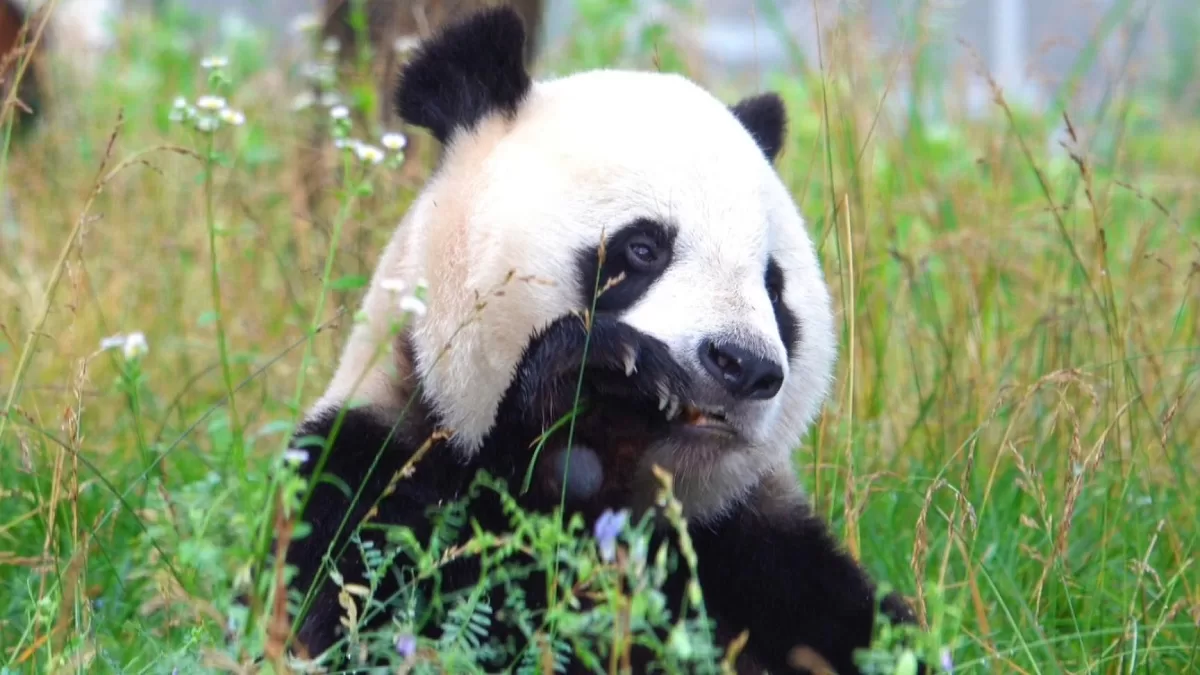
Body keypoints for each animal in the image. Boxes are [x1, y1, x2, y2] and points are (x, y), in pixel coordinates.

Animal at [282, 6, 923, 674]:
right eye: (642, 248)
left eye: (774, 289)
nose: (743, 366)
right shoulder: (367, 465)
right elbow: (389, 610)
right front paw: (597, 375)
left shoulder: (759, 551)